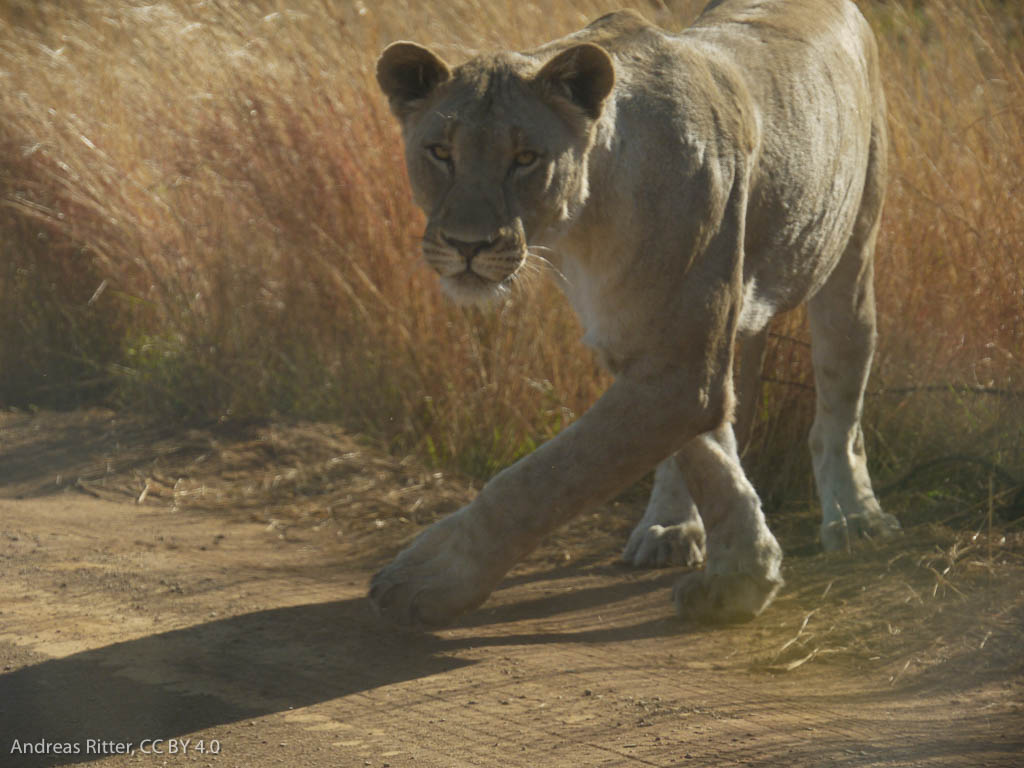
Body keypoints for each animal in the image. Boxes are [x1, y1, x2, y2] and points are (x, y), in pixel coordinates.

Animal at [370, 0, 901, 628]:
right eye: (440, 153)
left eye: (525, 159)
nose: (467, 245)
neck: (583, 222)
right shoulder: (639, 339)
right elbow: (701, 450)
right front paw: (743, 573)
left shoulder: (681, 370)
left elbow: (547, 477)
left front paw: (428, 575)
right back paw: (670, 528)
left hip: (852, 250)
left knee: (840, 404)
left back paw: (855, 517)